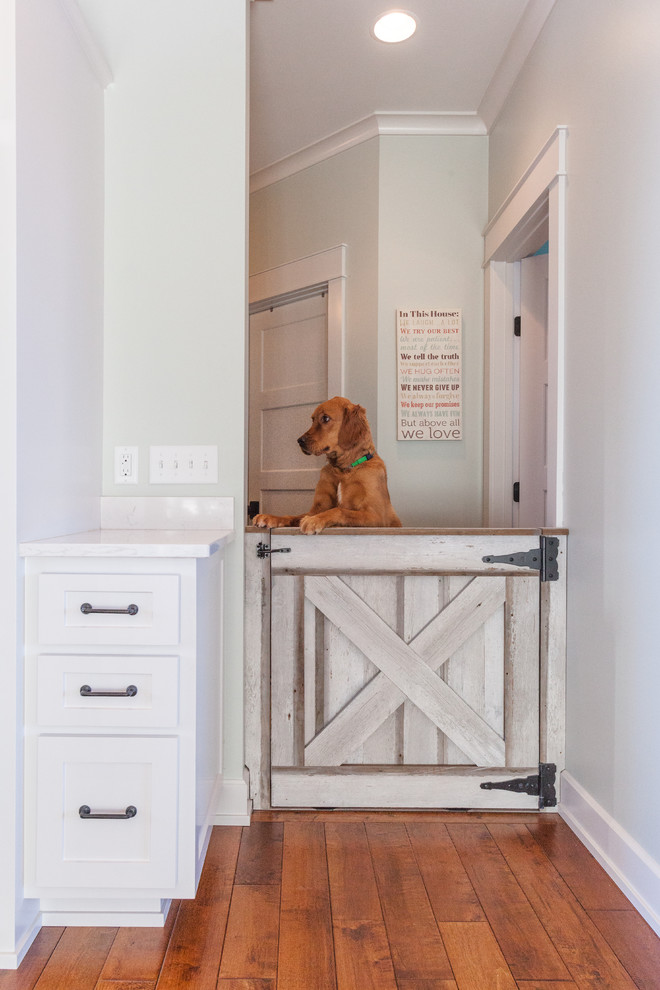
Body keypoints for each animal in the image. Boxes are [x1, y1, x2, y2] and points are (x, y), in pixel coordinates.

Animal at [253, 396, 400, 536]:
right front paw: (269, 517)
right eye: (312, 419)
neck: (343, 470)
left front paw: (314, 520)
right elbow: (294, 516)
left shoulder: (377, 516)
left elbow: (340, 510)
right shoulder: (317, 508)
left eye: (325, 418)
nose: (300, 441)